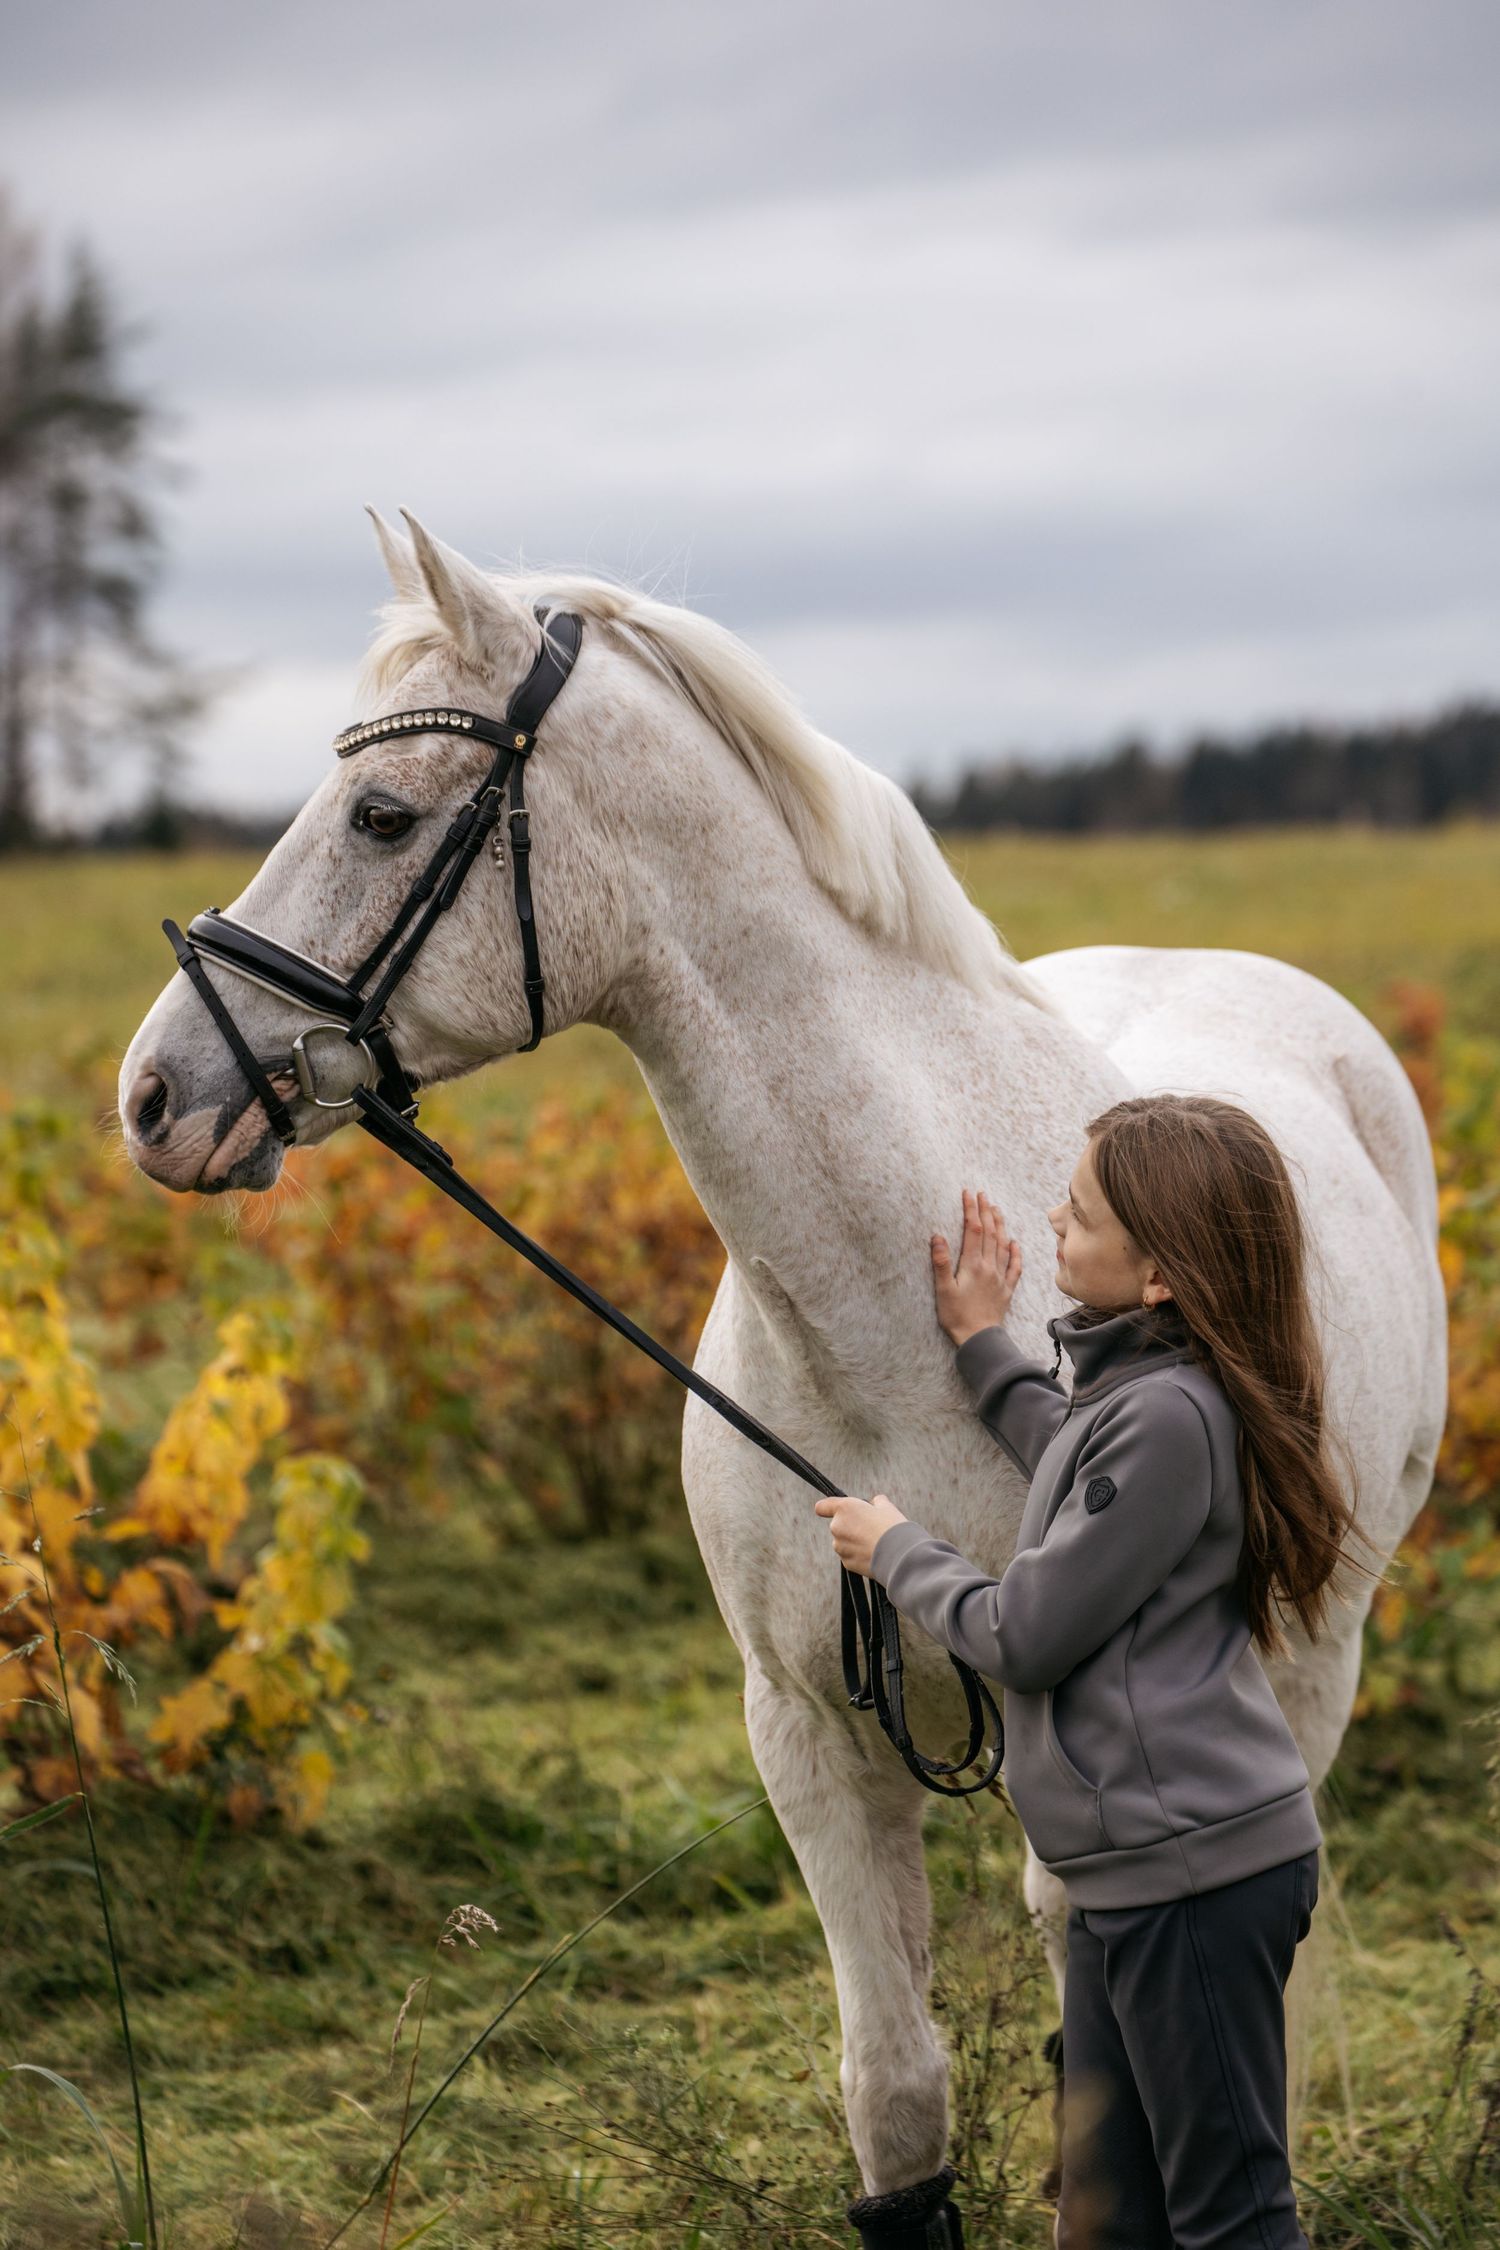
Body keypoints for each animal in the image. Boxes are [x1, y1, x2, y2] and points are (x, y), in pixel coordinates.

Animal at [119, 512, 1446, 2244]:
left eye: (384, 812)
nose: (155, 1094)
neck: (880, 1312)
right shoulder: (806, 1733)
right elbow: (895, 2090)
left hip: (1319, 1657)